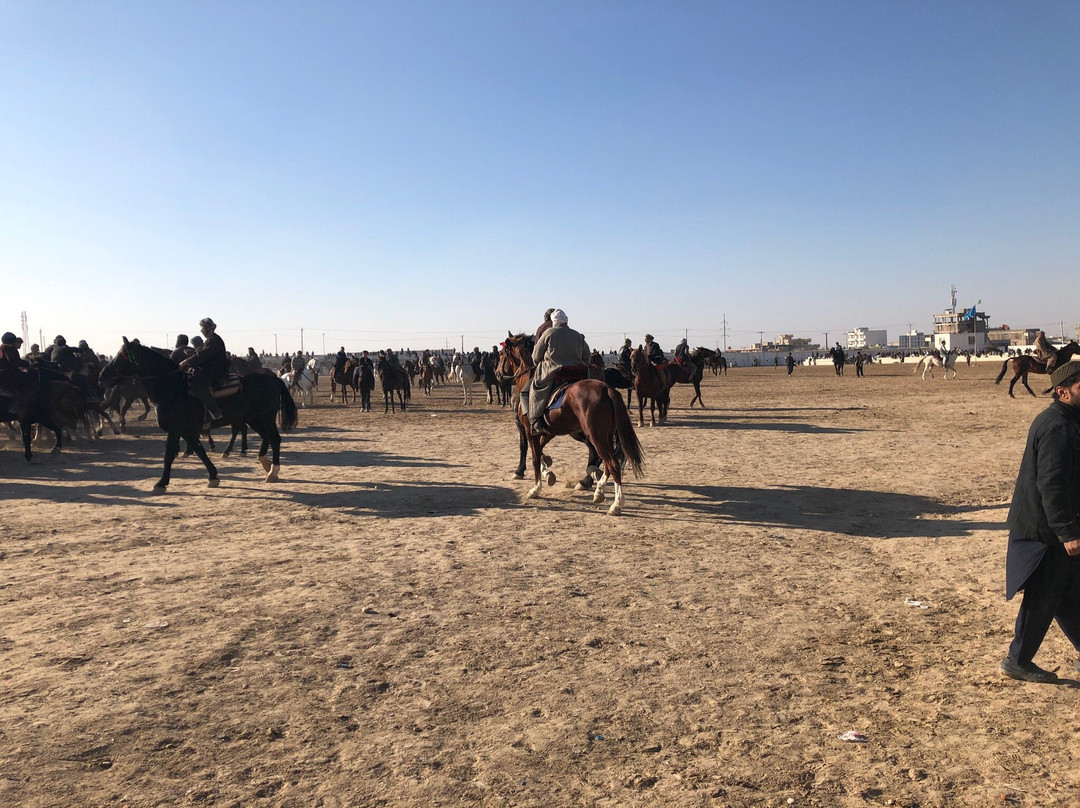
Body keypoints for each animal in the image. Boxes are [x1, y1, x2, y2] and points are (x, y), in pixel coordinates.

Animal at [99, 337, 300, 488]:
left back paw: (273, 471)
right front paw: (213, 476)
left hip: (266, 416)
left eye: (122, 357)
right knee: (264, 436)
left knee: (274, 438)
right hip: (253, 418)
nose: (102, 377)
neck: (173, 388)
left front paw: (161, 483)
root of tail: (274, 378)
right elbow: (198, 450)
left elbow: (169, 454)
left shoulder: (175, 429)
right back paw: (264, 463)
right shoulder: (187, 430)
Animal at [496, 332, 639, 518]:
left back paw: (615, 503)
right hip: (603, 436)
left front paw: (535, 488)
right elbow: (540, 452)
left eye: (501, 354)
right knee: (608, 461)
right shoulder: (547, 431)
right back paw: (597, 490)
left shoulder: (529, 430)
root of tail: (606, 388)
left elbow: (533, 455)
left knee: (610, 462)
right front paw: (547, 471)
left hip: (595, 436)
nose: (497, 373)